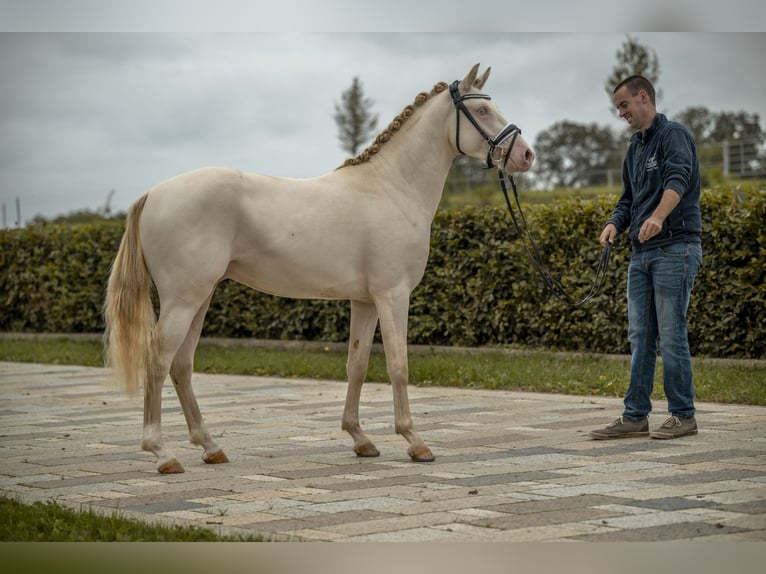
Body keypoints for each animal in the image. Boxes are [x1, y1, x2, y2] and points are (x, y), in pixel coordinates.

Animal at [103, 64, 536, 476]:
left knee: (181, 364)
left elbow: (357, 366)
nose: (526, 155)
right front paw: (415, 442)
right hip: (183, 299)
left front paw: (360, 439)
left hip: (201, 297)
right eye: (482, 110)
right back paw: (163, 453)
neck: (393, 188)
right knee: (158, 361)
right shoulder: (393, 295)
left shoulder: (365, 301)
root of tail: (154, 193)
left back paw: (210, 447)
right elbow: (398, 364)